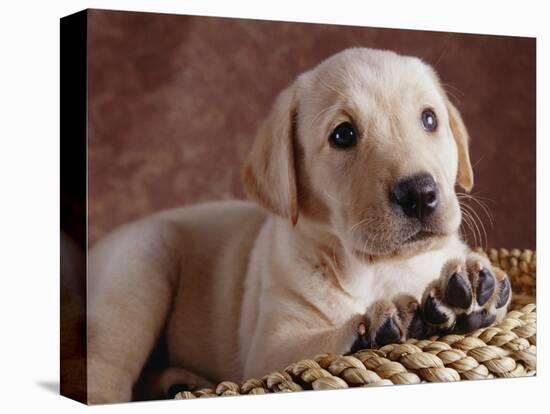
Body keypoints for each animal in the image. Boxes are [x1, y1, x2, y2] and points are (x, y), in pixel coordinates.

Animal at [86, 47, 512, 402]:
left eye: (429, 119)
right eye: (343, 134)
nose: (420, 192)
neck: (380, 270)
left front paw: (468, 291)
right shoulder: (269, 347)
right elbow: (314, 345)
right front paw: (373, 325)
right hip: (142, 266)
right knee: (106, 367)